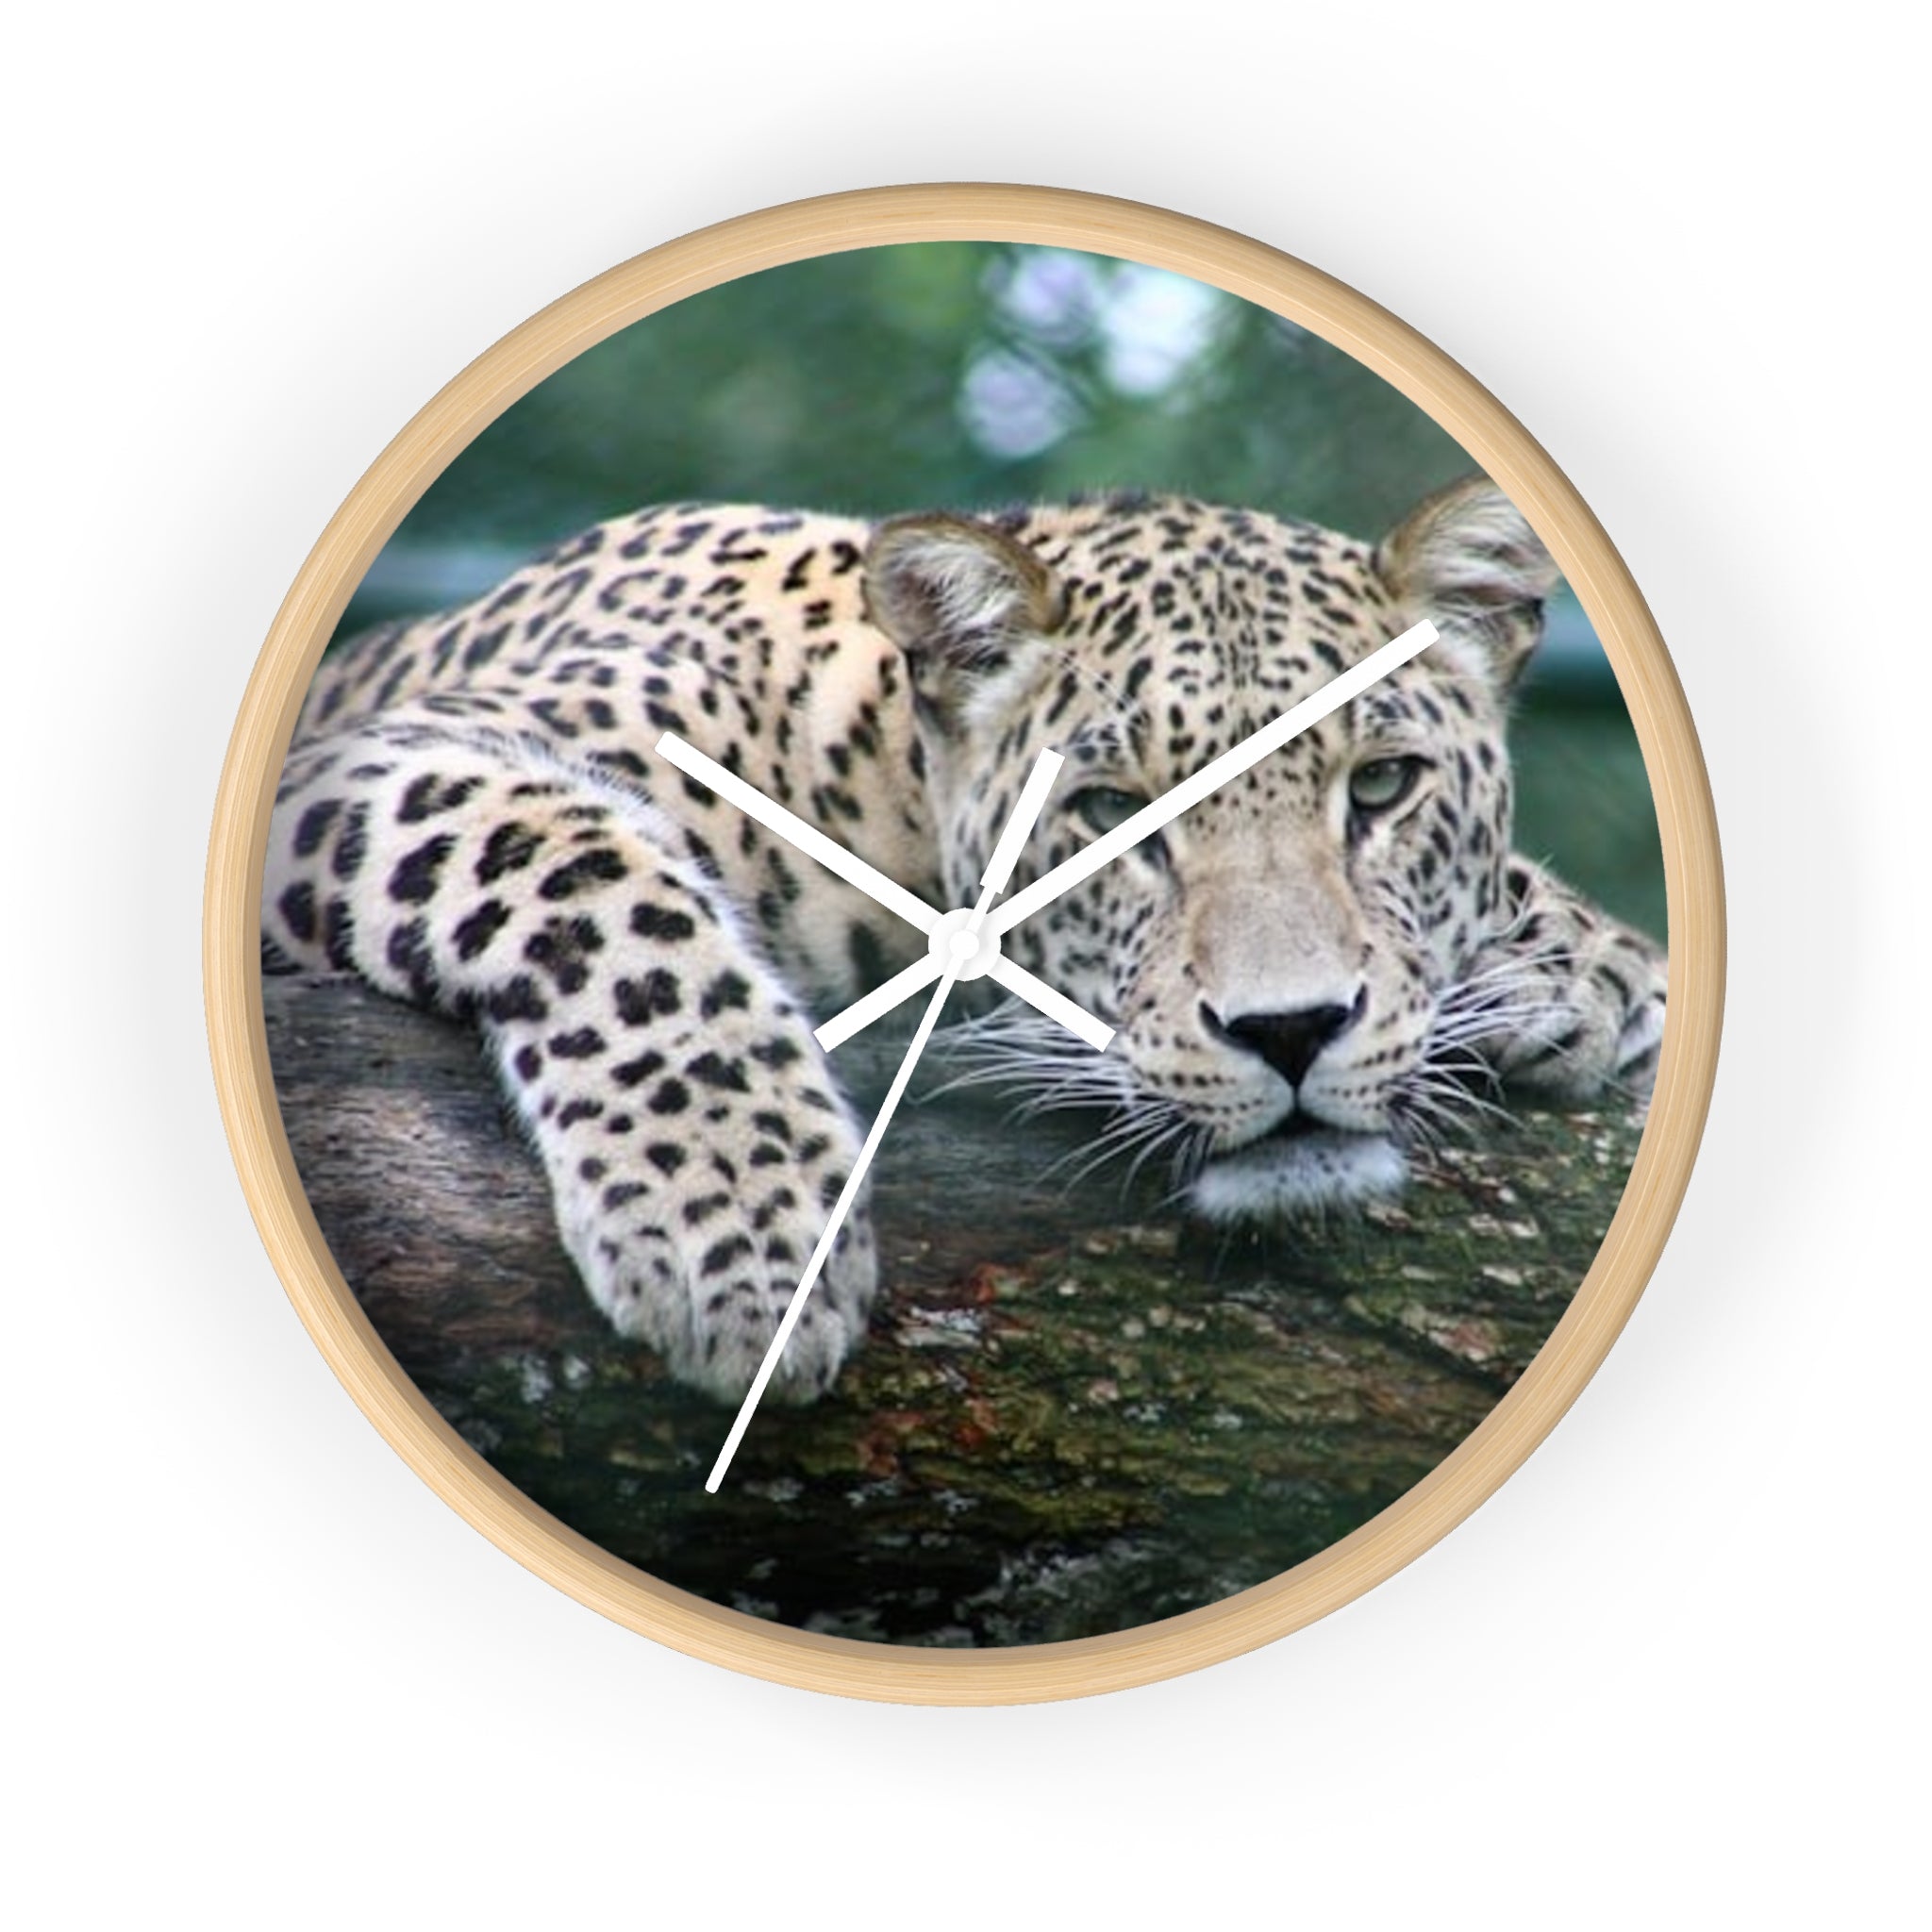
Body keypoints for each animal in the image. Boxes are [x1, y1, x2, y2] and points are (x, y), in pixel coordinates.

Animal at [263, 478, 1667, 1406]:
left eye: (1380, 786)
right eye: (1108, 813)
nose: (1290, 1031)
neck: (878, 778)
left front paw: (1582, 968)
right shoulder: (372, 766)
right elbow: (603, 883)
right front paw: (742, 1230)